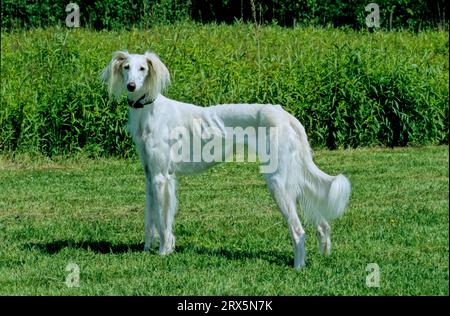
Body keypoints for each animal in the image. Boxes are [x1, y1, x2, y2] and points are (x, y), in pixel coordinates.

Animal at [102, 51, 352, 270]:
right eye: (126, 67)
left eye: (142, 69)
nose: (131, 86)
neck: (149, 110)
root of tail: (286, 115)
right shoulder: (149, 176)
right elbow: (150, 219)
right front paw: (146, 249)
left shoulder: (161, 177)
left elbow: (163, 222)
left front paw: (164, 251)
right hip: (293, 177)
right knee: (321, 222)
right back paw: (323, 253)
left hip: (278, 181)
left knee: (299, 231)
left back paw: (298, 267)